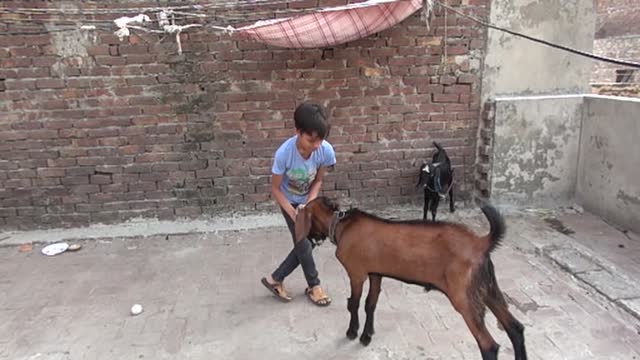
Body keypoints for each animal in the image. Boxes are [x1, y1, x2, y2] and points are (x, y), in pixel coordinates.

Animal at [296, 197, 524, 360]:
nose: (310, 240)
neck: (342, 224)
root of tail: (481, 243)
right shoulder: (376, 273)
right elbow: (371, 304)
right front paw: (367, 335)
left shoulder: (357, 273)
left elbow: (354, 303)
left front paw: (352, 332)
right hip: (488, 289)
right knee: (515, 328)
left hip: (464, 296)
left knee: (489, 345)